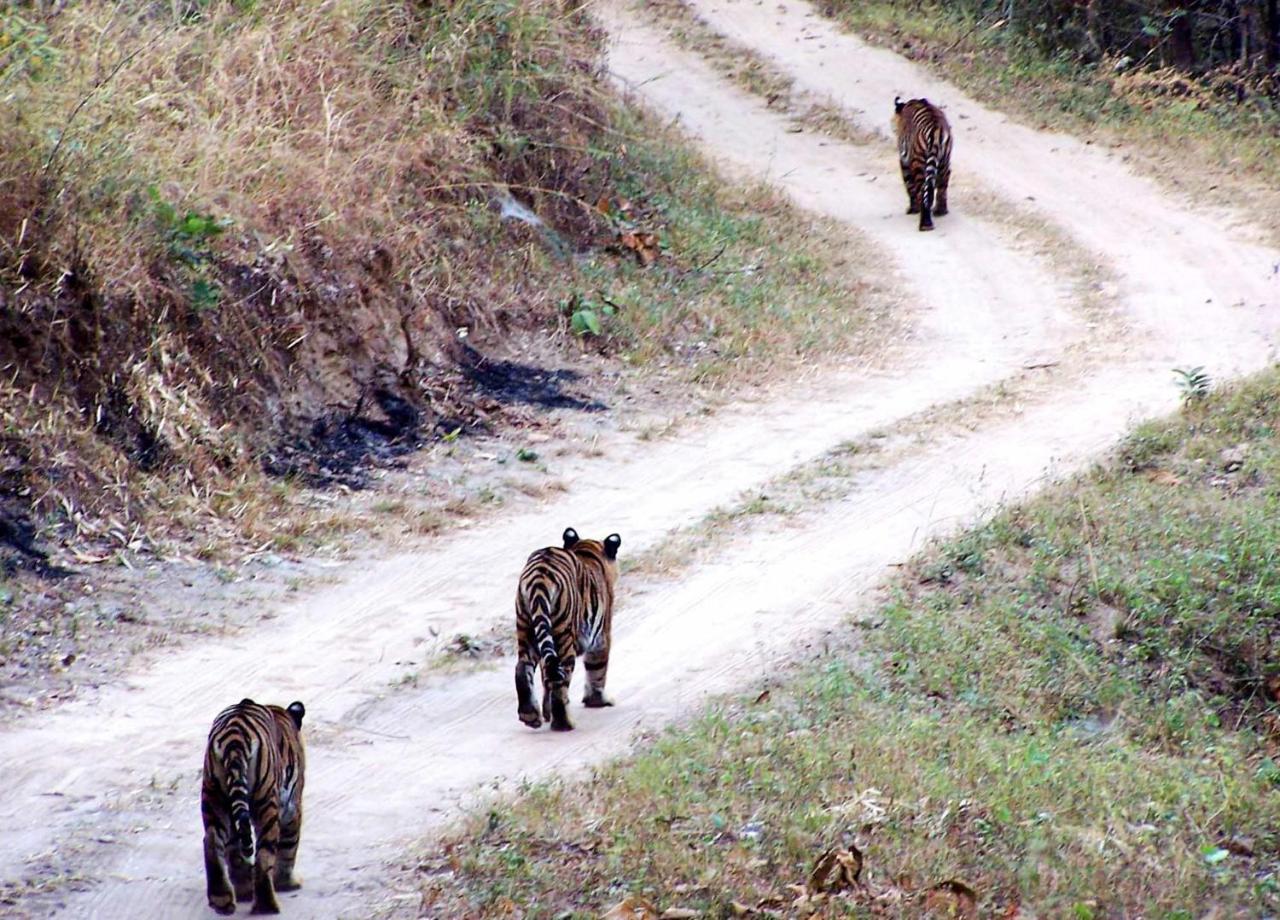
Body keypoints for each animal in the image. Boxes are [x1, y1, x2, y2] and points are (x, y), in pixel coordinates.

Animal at [202, 696, 307, 916]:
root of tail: (234, 737)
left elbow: (234, 852)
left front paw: (243, 890)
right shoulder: (292, 806)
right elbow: (289, 847)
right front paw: (287, 884)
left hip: (214, 796)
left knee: (212, 840)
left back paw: (222, 900)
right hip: (266, 801)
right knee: (264, 855)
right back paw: (267, 907)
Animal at [514, 529, 624, 731]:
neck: (587, 550)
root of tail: (539, 576)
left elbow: (545, 678)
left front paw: (546, 712)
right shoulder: (602, 636)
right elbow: (597, 670)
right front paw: (598, 701)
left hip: (526, 627)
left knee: (523, 668)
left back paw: (530, 716)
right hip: (564, 636)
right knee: (560, 682)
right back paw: (564, 723)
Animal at [896, 95, 957, 231]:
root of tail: (936, 131)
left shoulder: (904, 161)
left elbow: (909, 186)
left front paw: (913, 209)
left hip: (918, 164)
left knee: (923, 191)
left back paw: (925, 223)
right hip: (944, 163)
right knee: (941, 189)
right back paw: (940, 211)